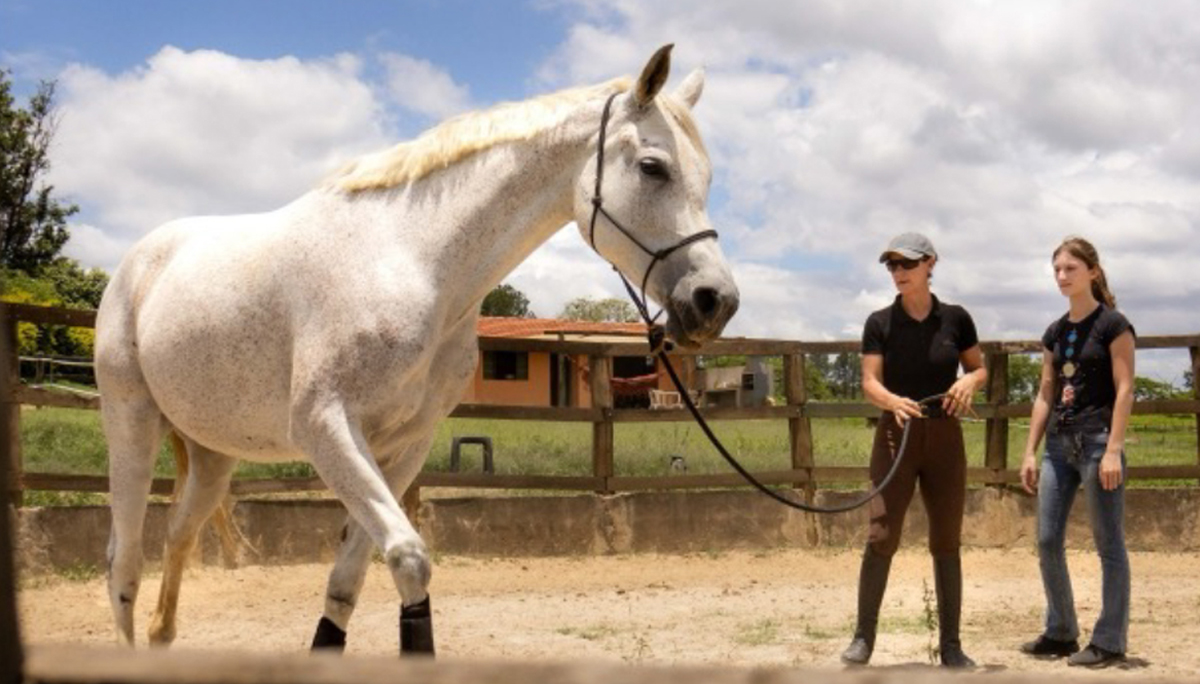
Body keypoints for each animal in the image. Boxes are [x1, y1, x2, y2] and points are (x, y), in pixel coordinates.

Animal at [94, 44, 739, 655]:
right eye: (653, 167)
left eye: (706, 177)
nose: (716, 301)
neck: (410, 260)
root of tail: (141, 261)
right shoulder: (326, 428)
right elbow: (408, 559)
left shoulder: (404, 445)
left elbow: (347, 583)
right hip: (132, 425)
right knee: (123, 562)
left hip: (212, 455)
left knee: (177, 535)